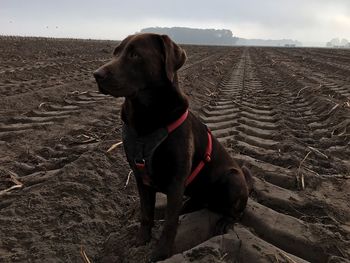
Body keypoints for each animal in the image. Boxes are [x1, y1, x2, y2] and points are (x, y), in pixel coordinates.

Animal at [93, 33, 252, 262]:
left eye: (135, 54)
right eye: (116, 52)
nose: (96, 75)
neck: (146, 121)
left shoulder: (176, 182)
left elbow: (169, 224)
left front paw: (161, 253)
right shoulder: (140, 178)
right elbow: (146, 213)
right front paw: (141, 240)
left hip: (233, 178)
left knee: (237, 212)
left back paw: (225, 222)